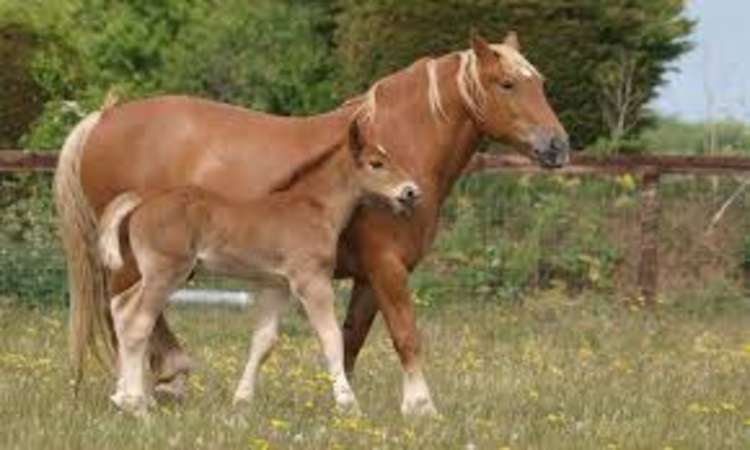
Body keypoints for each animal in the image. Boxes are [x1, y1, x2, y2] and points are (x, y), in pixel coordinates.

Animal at [97, 122, 420, 414]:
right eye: (376, 163)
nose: (411, 192)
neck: (313, 208)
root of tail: (143, 200)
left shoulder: (275, 285)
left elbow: (263, 341)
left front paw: (242, 401)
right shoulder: (311, 281)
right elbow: (331, 338)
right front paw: (348, 404)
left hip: (150, 274)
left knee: (122, 309)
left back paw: (124, 396)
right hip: (165, 273)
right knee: (138, 323)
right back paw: (135, 404)